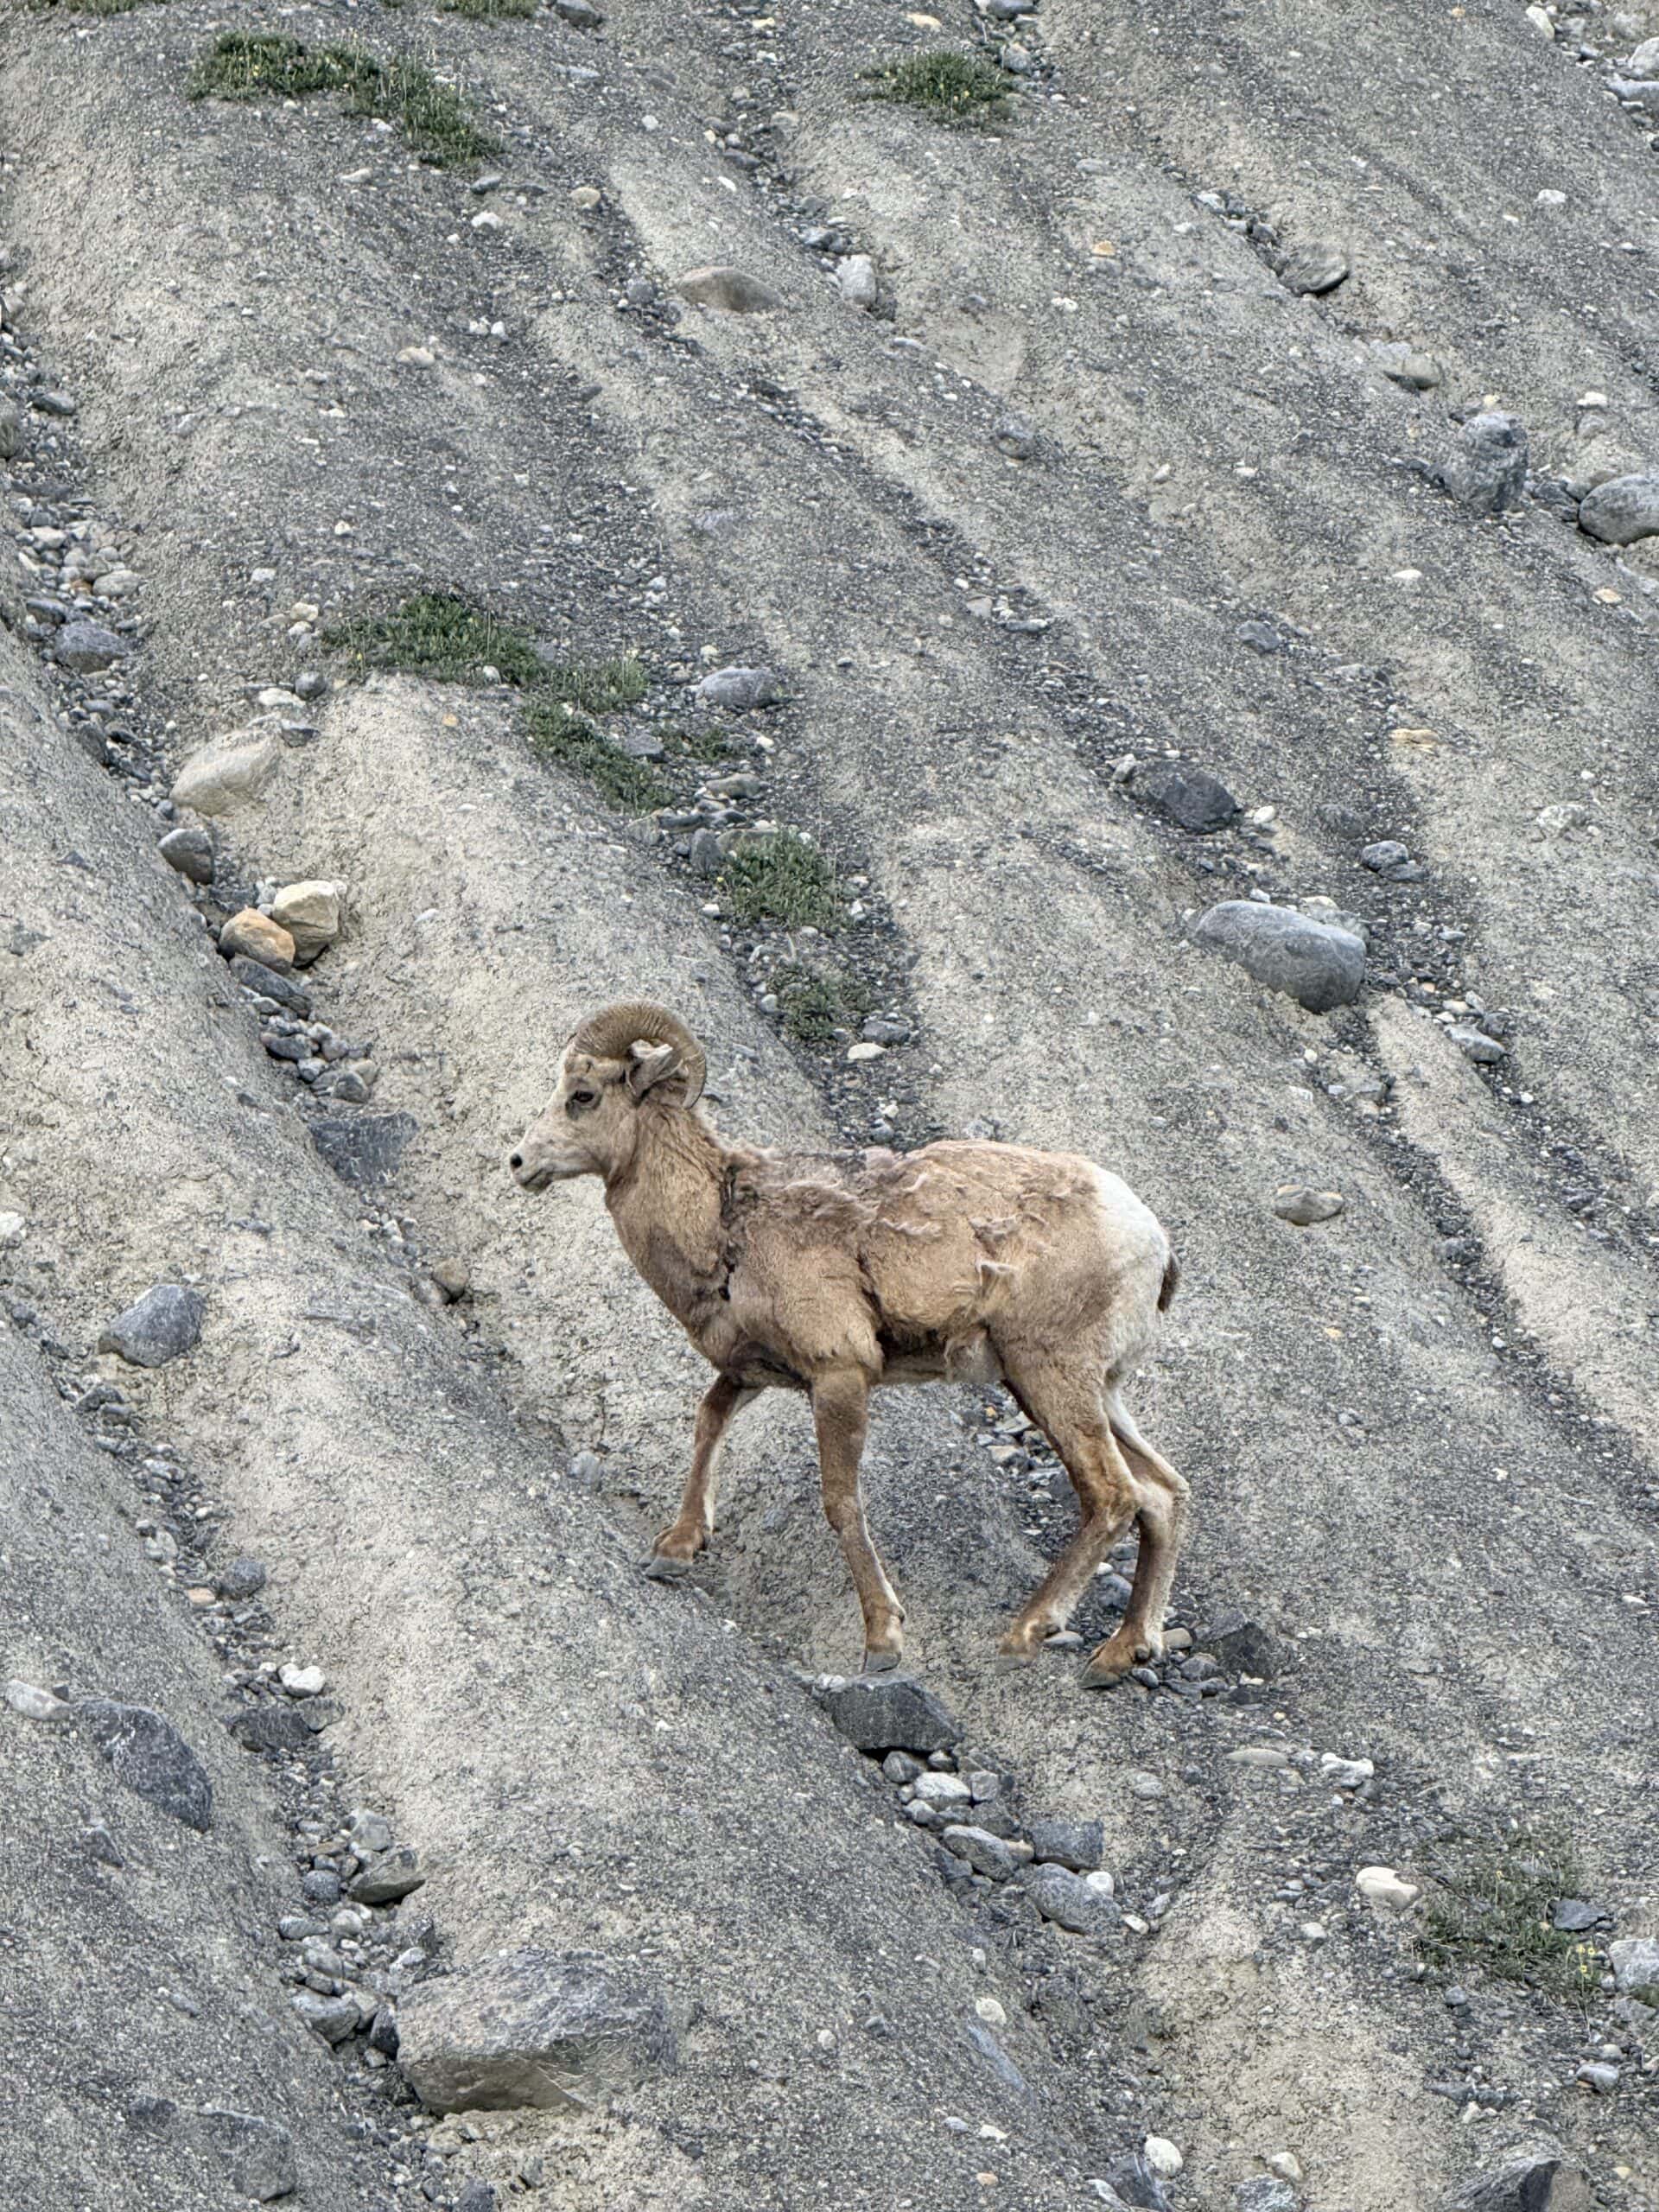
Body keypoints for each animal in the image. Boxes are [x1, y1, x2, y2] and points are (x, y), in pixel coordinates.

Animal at [509, 1002, 1186, 1686]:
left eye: (583, 1095)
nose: (518, 1163)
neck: (724, 1227)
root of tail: (1149, 1241)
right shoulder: (757, 1370)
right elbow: (708, 1420)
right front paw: (675, 1550)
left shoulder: (839, 1374)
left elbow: (840, 1503)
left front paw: (883, 1641)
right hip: (1089, 1390)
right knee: (1162, 1493)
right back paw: (1121, 1654)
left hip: (1049, 1374)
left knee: (1114, 1495)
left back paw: (1026, 1634)